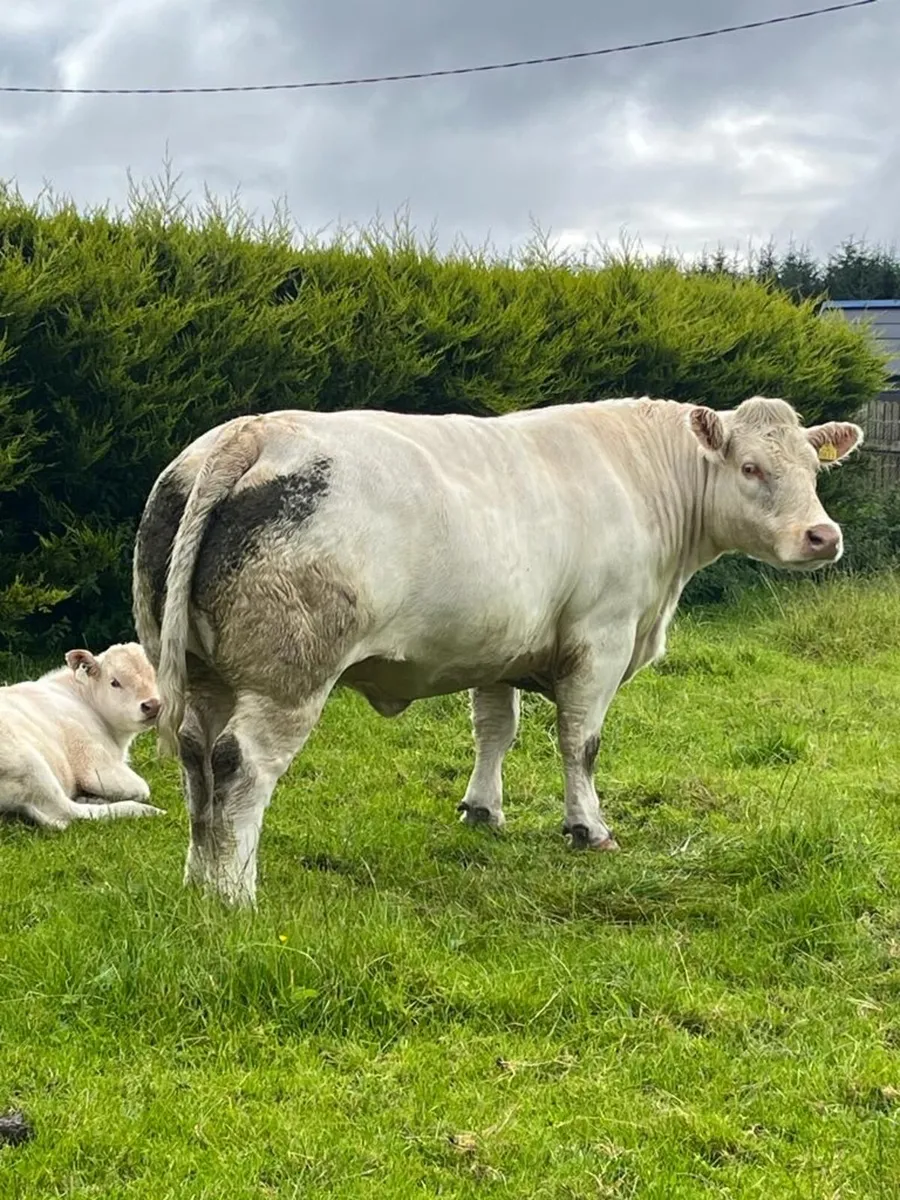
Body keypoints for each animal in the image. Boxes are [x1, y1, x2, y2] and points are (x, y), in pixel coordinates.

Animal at [0, 642, 164, 828]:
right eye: (114, 682)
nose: (153, 705)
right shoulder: (94, 764)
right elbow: (142, 788)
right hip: (31, 766)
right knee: (67, 813)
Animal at [132, 396, 862, 906]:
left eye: (812, 469)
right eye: (751, 467)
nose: (822, 535)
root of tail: (253, 430)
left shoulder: (499, 648)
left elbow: (494, 729)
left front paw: (482, 809)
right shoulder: (601, 637)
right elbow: (581, 743)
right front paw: (588, 828)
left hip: (202, 671)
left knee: (198, 758)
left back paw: (201, 879)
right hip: (289, 673)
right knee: (241, 764)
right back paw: (234, 896)